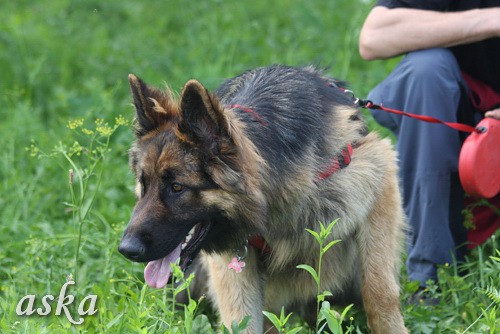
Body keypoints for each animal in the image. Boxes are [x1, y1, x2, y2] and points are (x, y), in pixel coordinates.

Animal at [119, 65, 408, 334]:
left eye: (177, 187)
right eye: (143, 184)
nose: (126, 250)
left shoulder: (379, 177)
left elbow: (378, 289)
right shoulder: (234, 266)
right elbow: (241, 320)